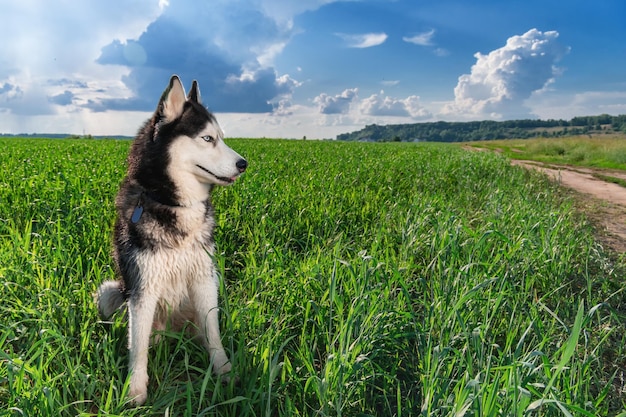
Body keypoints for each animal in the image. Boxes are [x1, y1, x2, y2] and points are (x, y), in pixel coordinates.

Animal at [95, 74, 246, 404]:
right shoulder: (143, 287)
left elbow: (214, 334)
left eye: (222, 137)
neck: (176, 206)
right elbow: (137, 347)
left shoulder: (205, 280)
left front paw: (225, 372)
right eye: (207, 139)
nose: (244, 164)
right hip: (112, 291)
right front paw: (136, 390)